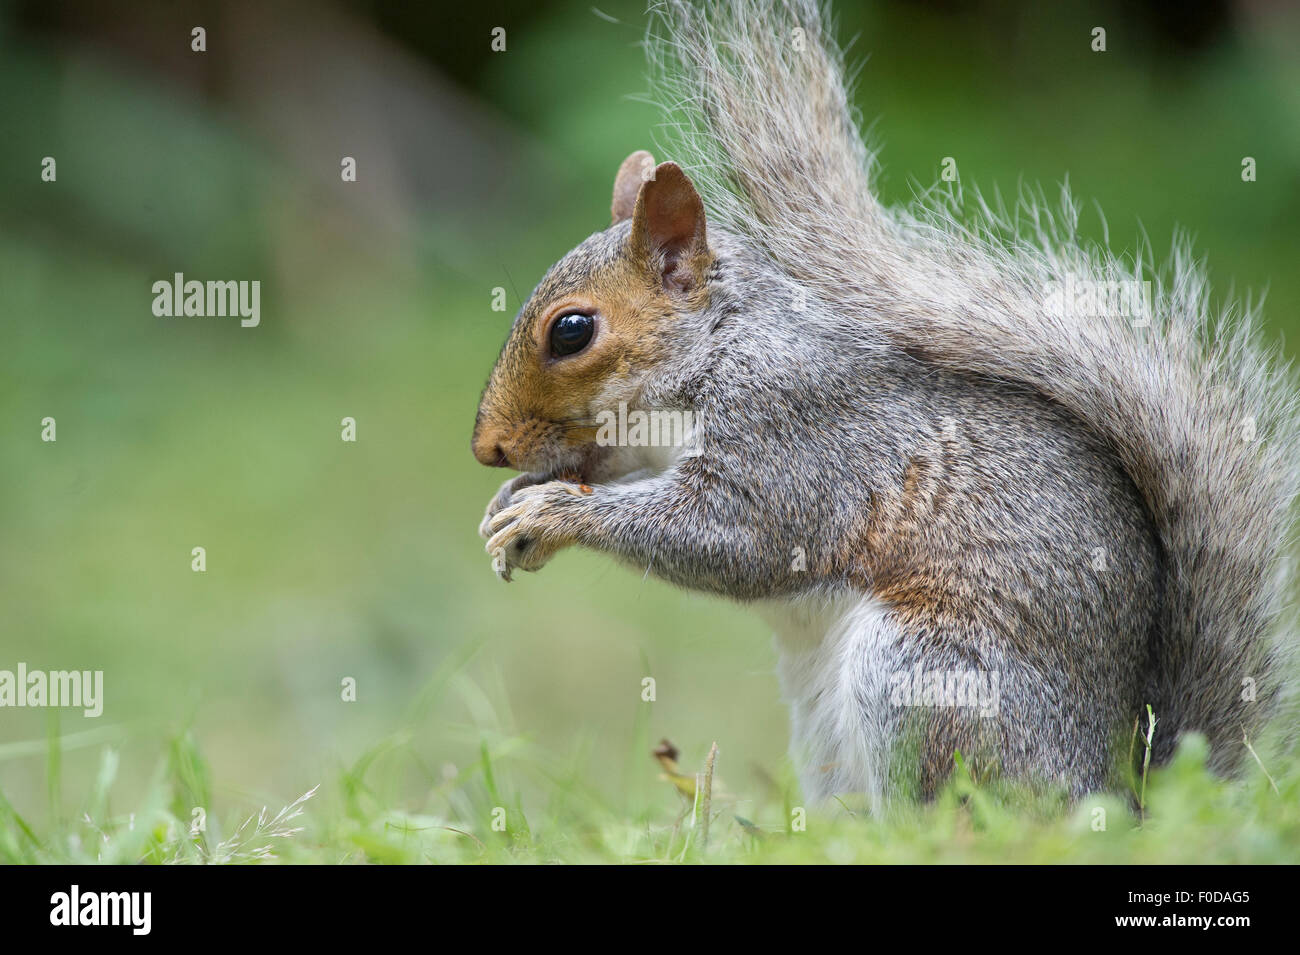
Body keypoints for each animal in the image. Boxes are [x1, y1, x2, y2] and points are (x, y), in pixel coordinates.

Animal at [471, 0, 1299, 806]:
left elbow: (728, 538)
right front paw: (513, 501)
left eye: (572, 330)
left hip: (923, 672)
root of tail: (1115, 791)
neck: (717, 347)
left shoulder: (792, 435)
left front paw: (554, 511)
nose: (488, 447)